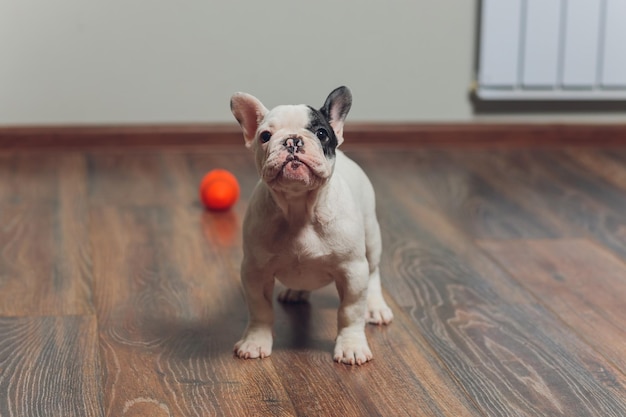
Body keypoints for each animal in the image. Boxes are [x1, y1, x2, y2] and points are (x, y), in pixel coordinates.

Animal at [232, 86, 392, 362]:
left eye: (321, 133)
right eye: (265, 136)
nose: (293, 140)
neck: (299, 209)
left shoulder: (352, 271)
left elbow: (350, 311)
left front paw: (351, 346)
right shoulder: (255, 271)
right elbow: (260, 309)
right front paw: (255, 341)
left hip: (371, 240)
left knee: (373, 272)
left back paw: (376, 307)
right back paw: (296, 292)